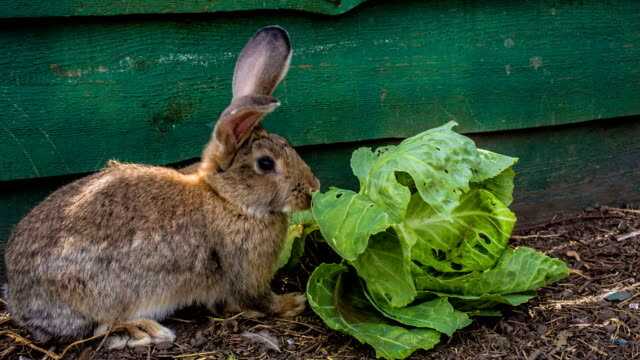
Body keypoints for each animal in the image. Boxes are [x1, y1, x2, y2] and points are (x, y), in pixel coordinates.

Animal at [1, 26, 318, 348]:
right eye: (265, 163)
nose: (312, 188)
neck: (226, 198)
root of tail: (19, 301)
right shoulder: (246, 273)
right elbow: (260, 301)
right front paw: (294, 302)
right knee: (101, 326)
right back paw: (144, 330)